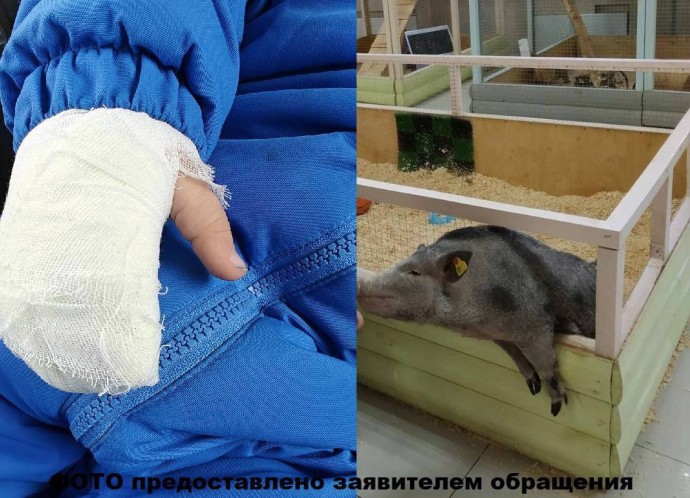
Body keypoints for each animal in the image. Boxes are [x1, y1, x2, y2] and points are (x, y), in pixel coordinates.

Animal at [357, 225, 596, 416]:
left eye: (415, 272)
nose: (360, 282)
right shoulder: (498, 335)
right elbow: (515, 353)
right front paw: (533, 386)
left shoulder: (537, 324)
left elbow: (546, 364)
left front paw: (557, 407)